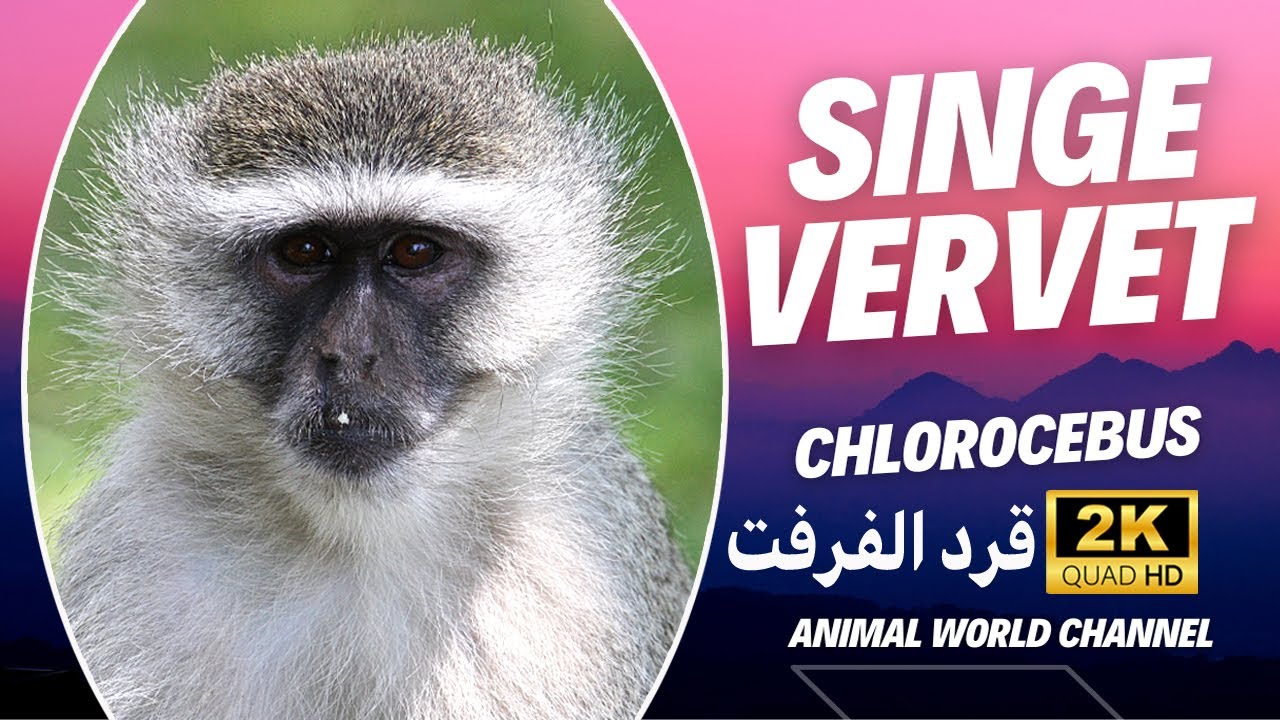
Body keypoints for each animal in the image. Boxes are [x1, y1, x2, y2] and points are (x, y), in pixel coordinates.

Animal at [48, 33, 692, 719]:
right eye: (305, 251)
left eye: (414, 251)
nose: (350, 354)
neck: (358, 540)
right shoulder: (139, 548)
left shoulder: (585, 567)